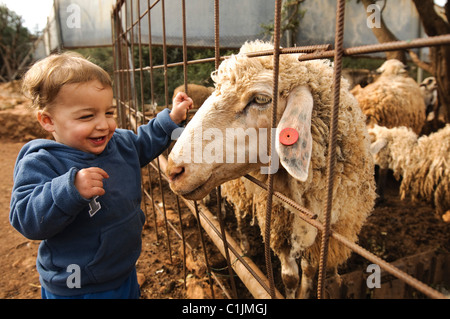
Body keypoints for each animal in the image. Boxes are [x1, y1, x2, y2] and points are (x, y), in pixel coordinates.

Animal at [165, 41, 376, 298]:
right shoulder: (277, 227)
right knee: (238, 213)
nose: (174, 171)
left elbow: (308, 271)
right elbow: (290, 277)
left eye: (261, 98)